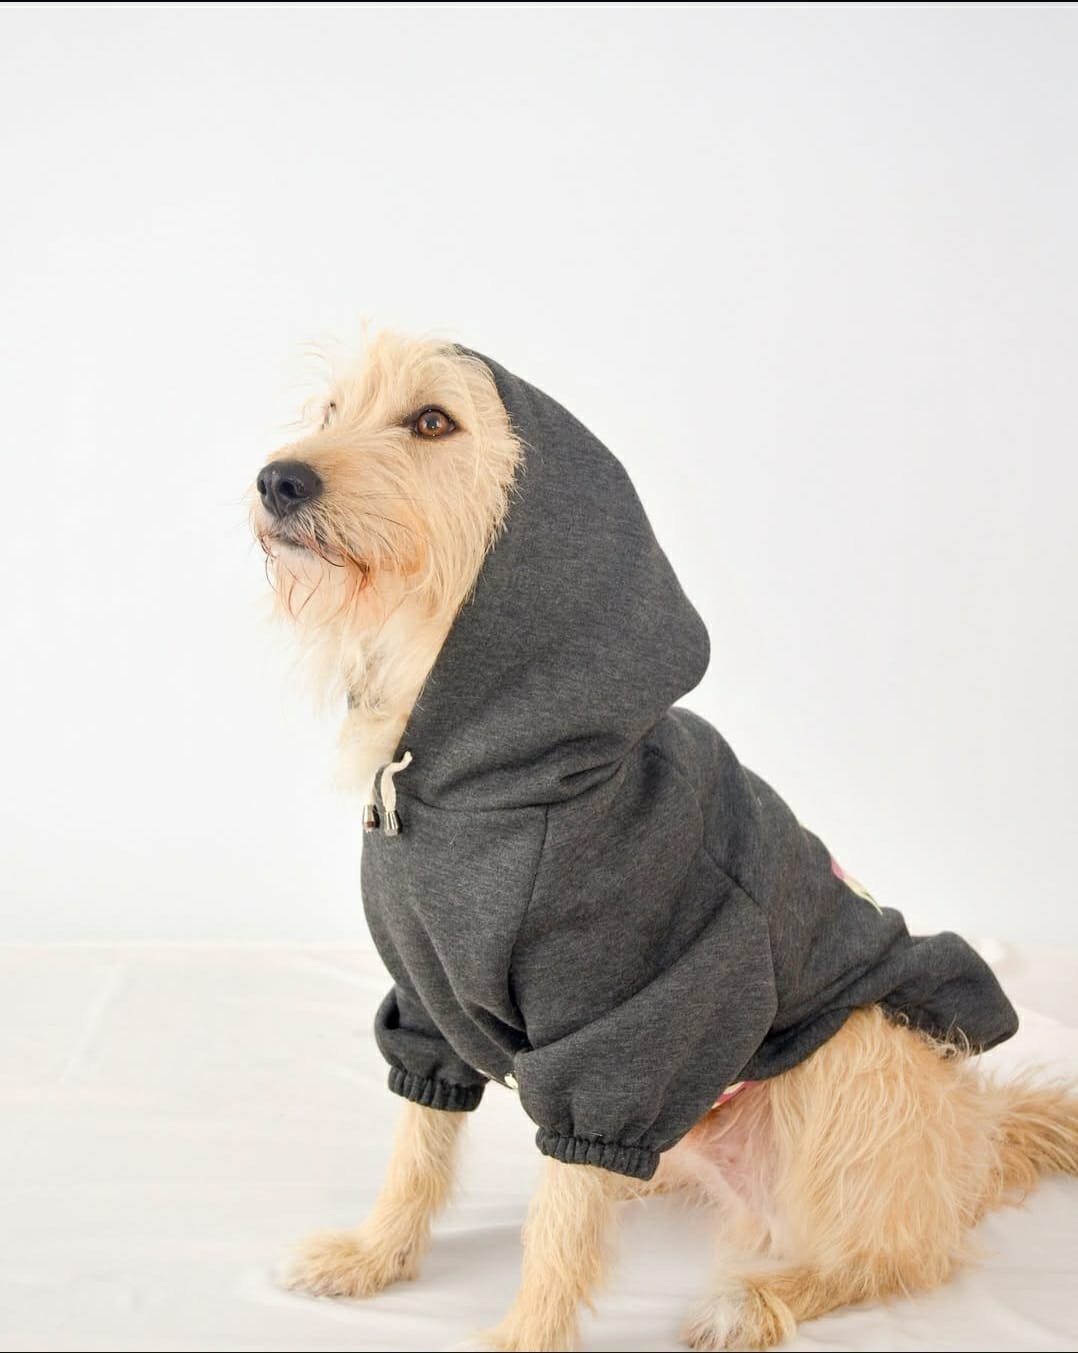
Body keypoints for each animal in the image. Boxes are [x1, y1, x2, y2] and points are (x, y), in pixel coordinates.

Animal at [252, 332, 1078, 1352]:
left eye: (433, 420)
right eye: (331, 411)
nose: (278, 478)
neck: (456, 773)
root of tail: (973, 1143)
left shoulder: (631, 1028)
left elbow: (561, 1207)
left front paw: (526, 1333)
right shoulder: (425, 1000)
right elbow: (420, 1144)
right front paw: (375, 1257)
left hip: (859, 1056)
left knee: (900, 1254)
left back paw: (758, 1295)